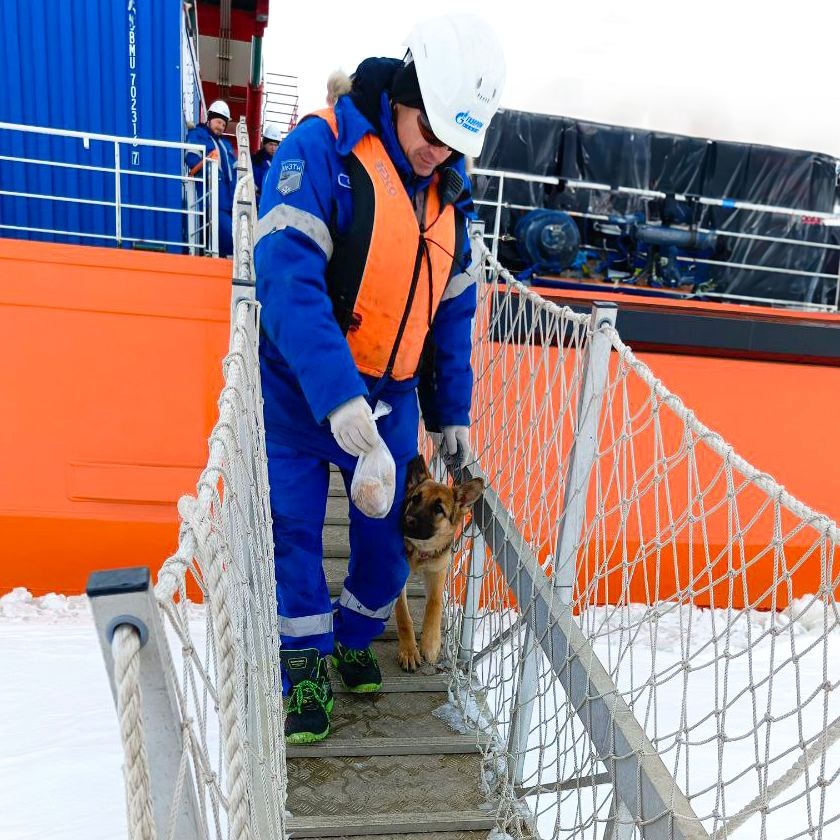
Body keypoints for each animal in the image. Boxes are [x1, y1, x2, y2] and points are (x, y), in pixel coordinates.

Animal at [398, 452, 482, 668]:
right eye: (415, 499)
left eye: (438, 509)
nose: (407, 521)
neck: (420, 550)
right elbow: (403, 616)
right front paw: (408, 650)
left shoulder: (438, 570)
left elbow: (435, 603)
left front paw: (431, 642)